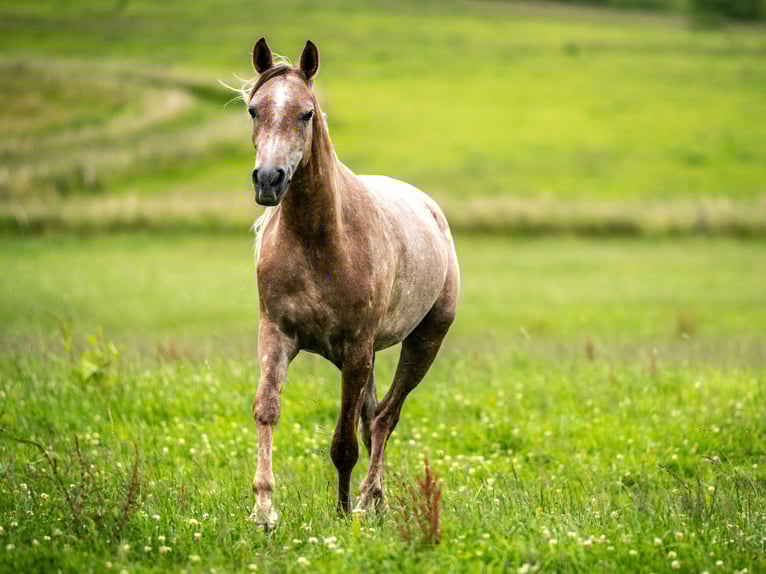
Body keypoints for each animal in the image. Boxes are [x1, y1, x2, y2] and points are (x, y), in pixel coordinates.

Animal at [245, 38, 459, 529]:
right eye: (253, 110)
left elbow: (344, 443)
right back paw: (371, 499)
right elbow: (268, 410)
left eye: (306, 113)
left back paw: (366, 499)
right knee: (372, 416)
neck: (320, 240)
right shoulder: (277, 335)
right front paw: (264, 510)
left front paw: (343, 512)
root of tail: (429, 207)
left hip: (423, 342)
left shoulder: (356, 348)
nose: (268, 180)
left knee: (385, 418)